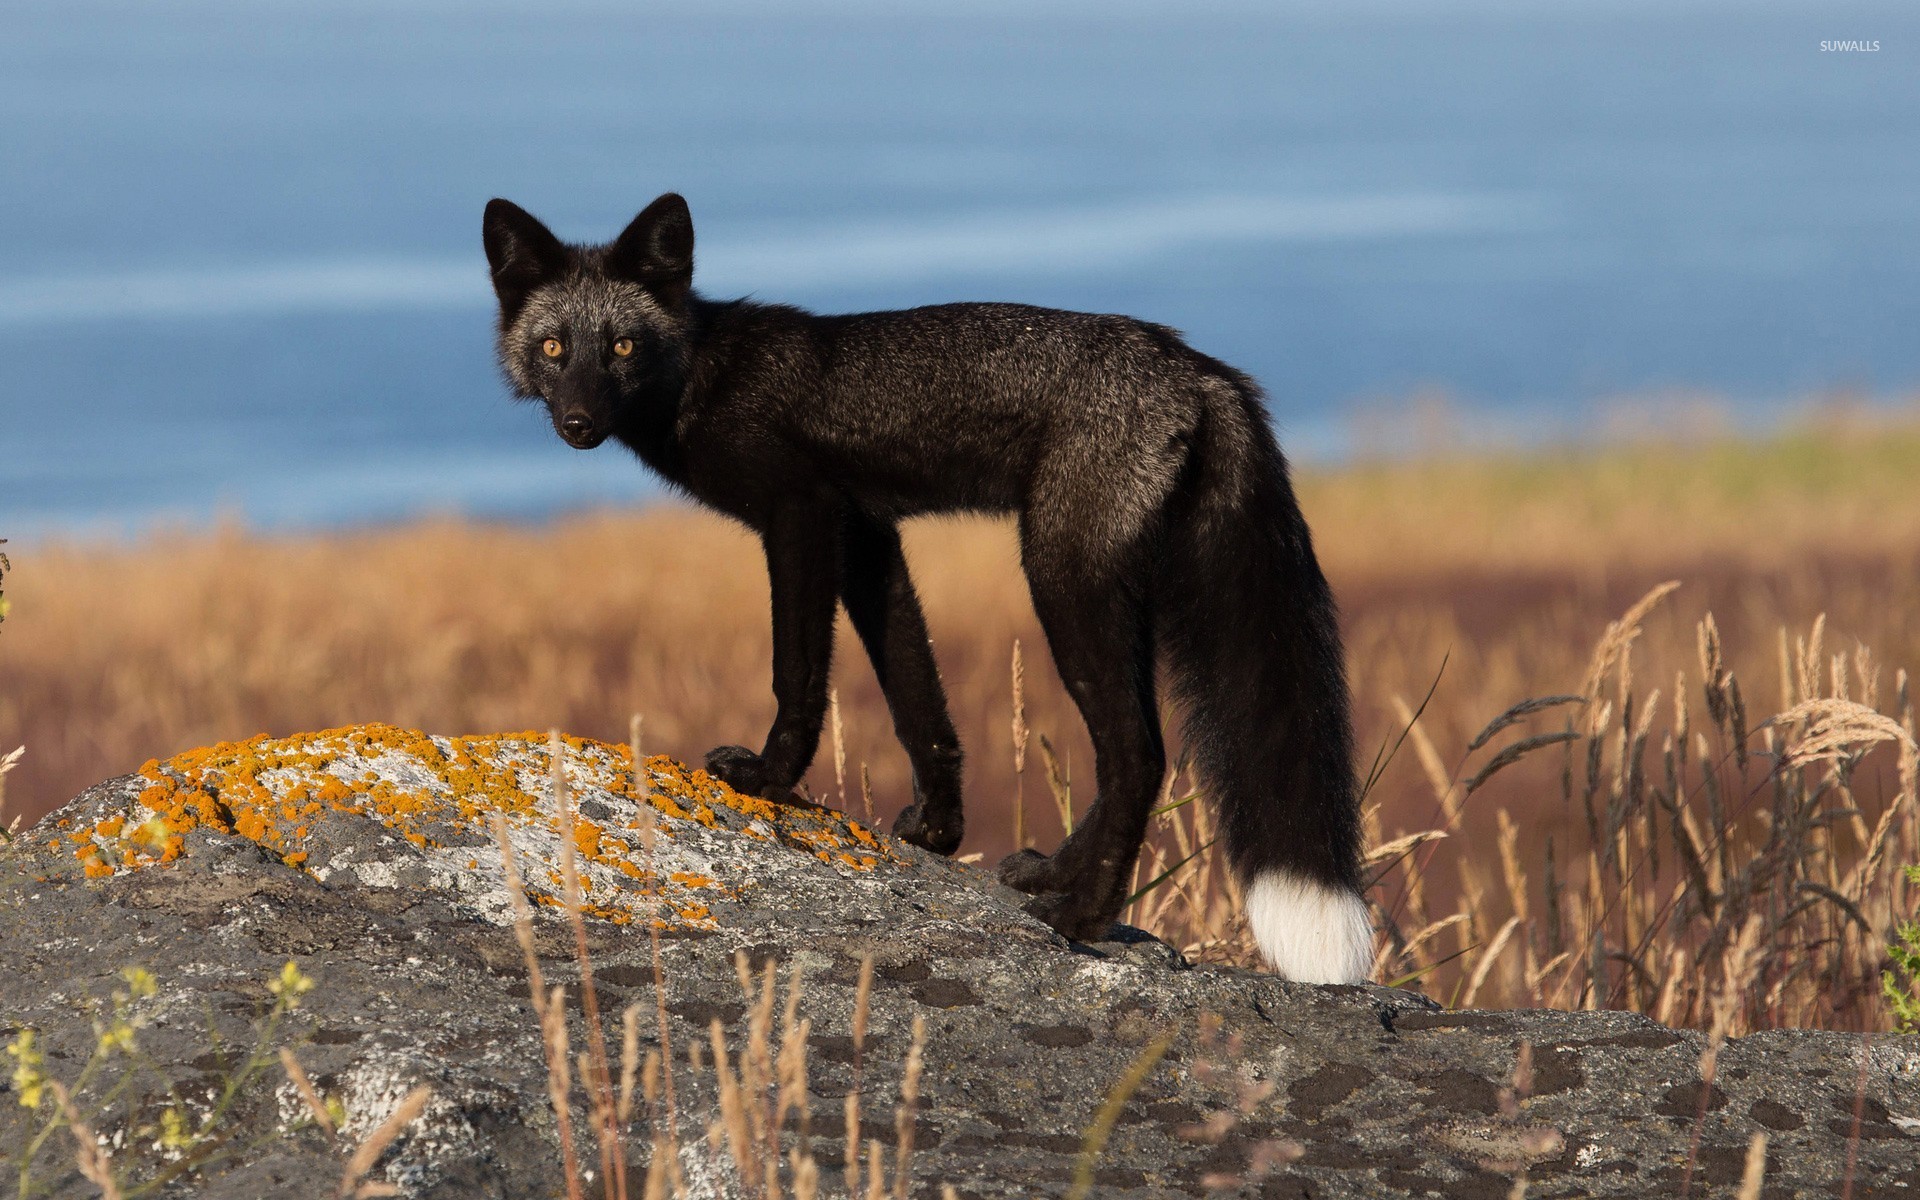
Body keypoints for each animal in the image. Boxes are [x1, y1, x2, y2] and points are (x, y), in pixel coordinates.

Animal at [483, 193, 1382, 983]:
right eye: (555, 349)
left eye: (622, 349)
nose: (577, 425)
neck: (705, 375)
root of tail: (1198, 366)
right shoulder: (868, 534)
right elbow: (917, 693)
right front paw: (941, 831)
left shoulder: (801, 513)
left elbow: (798, 671)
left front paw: (769, 779)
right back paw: (1050, 877)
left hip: (1062, 577)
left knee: (1139, 755)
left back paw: (1082, 917)